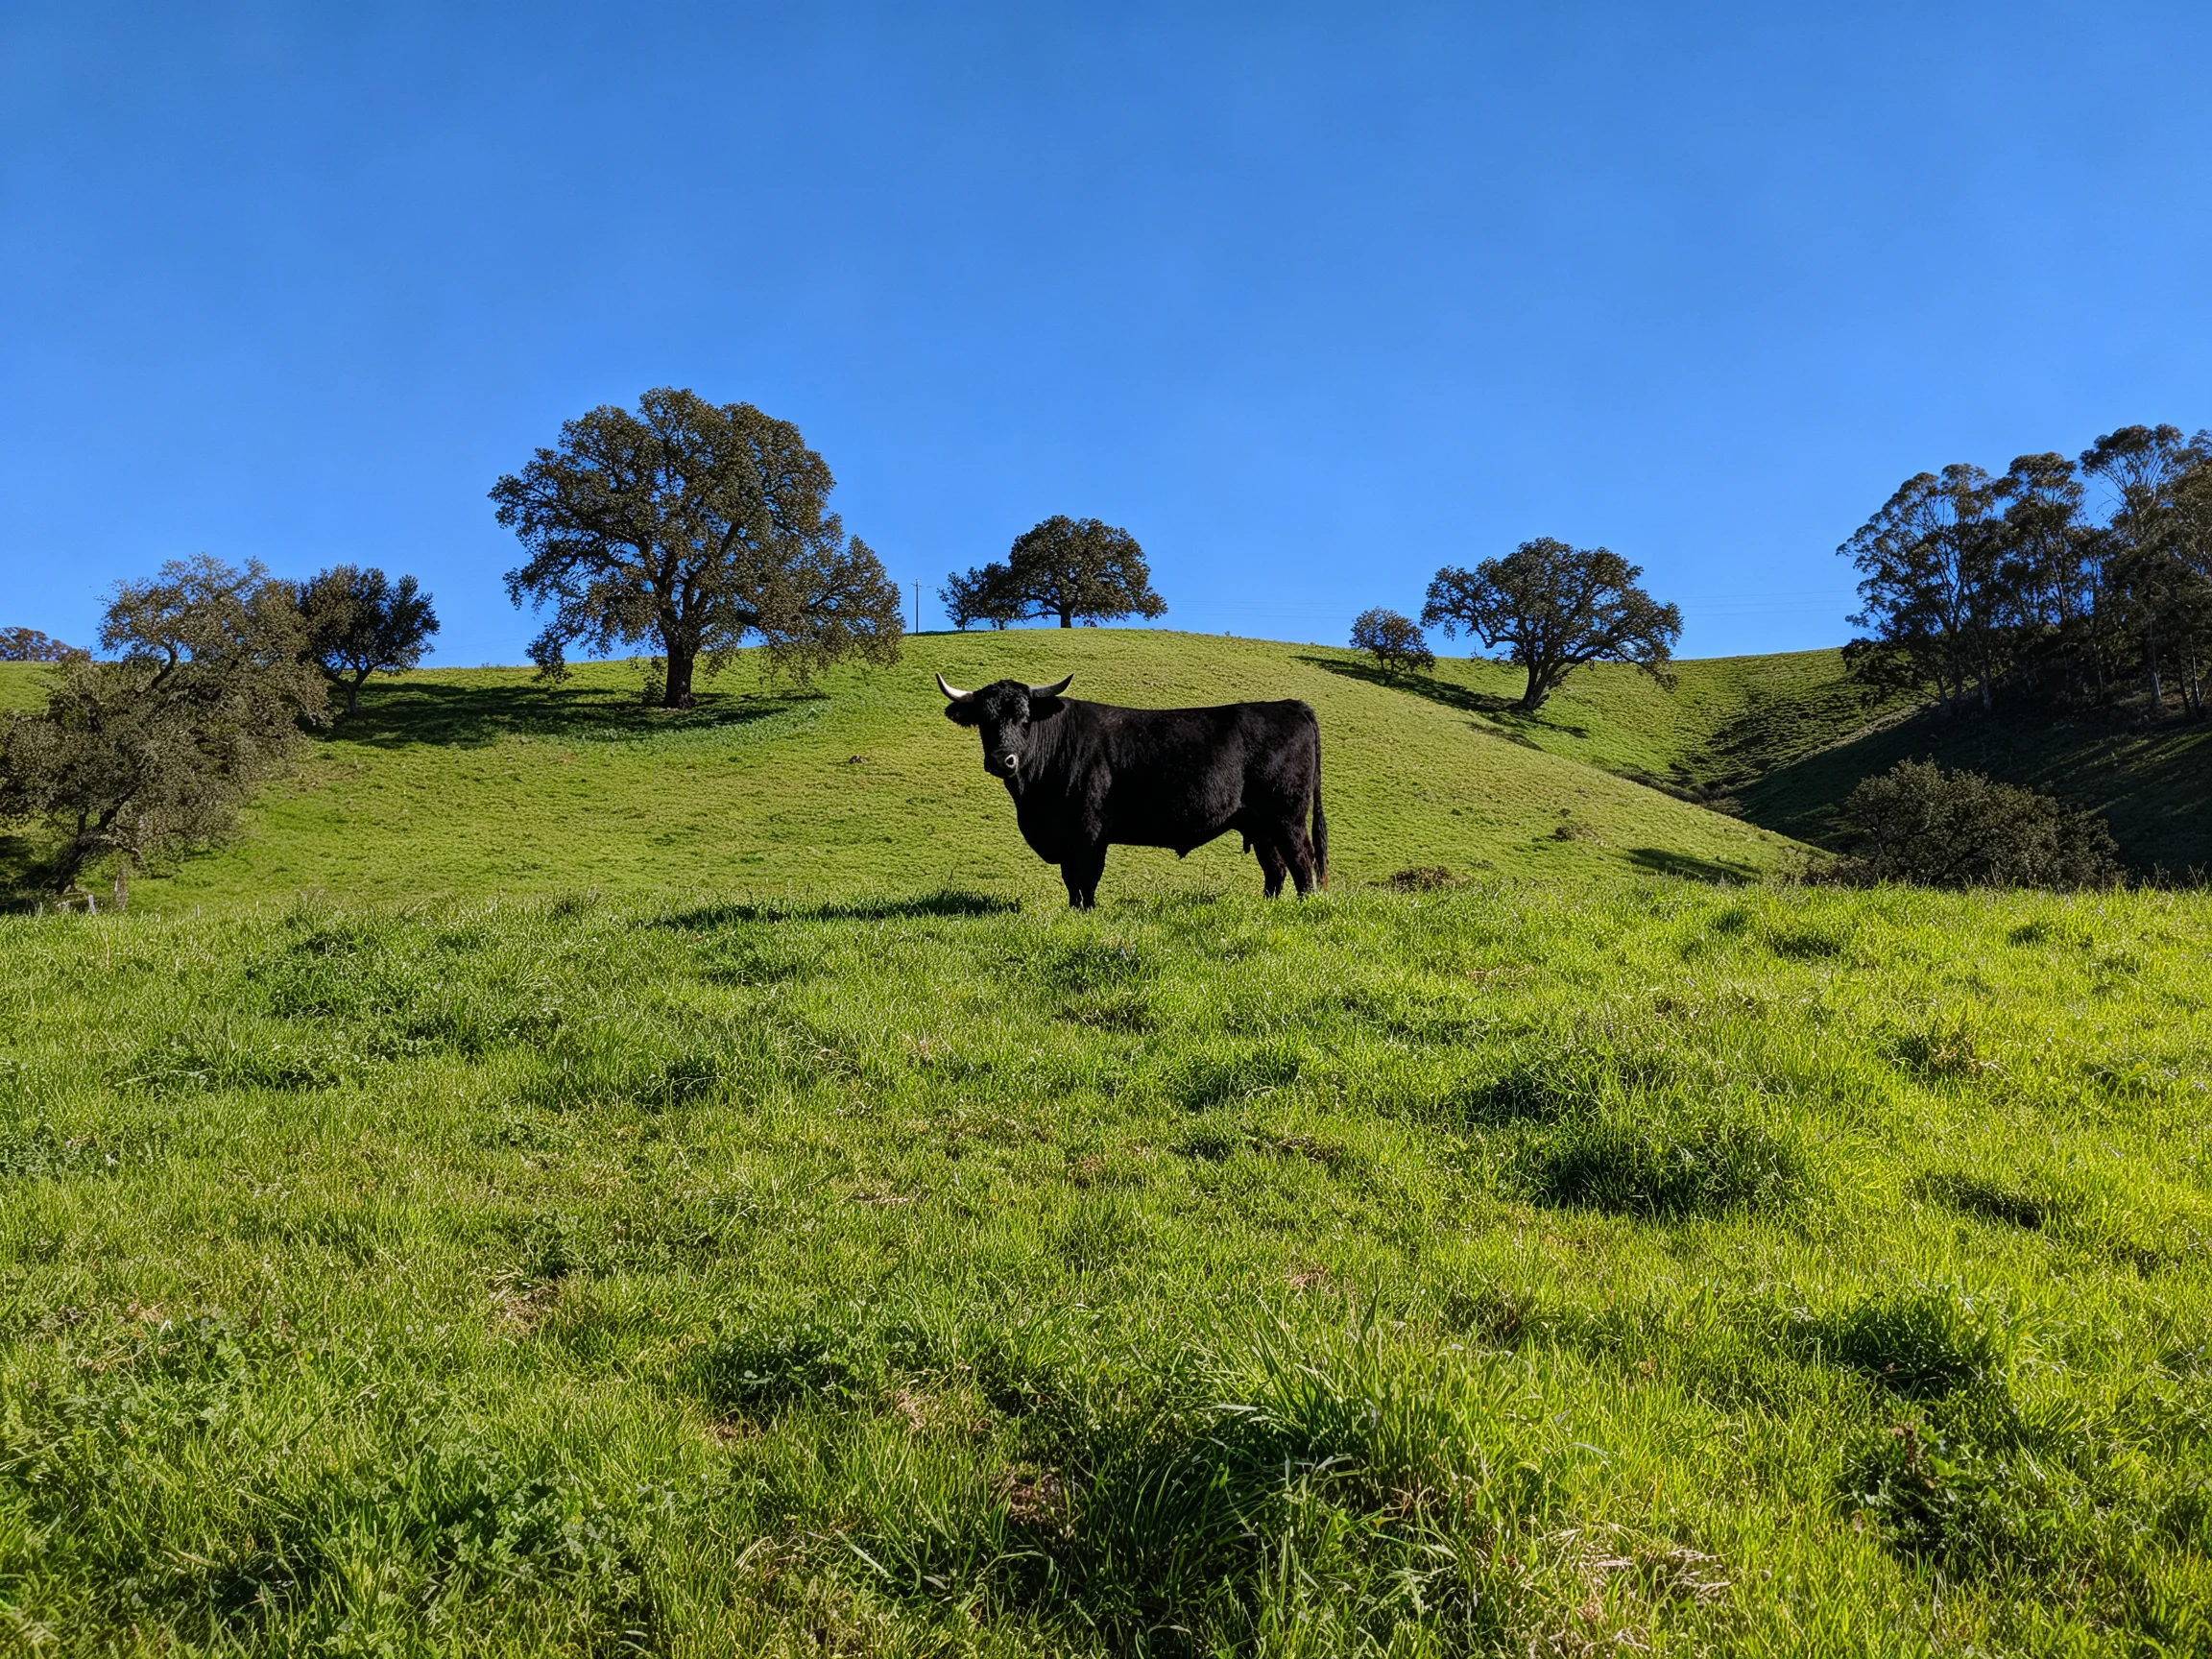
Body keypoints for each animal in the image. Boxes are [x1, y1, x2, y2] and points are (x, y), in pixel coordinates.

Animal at [935, 672, 1327, 908]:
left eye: (1025, 719)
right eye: (984, 721)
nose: (1002, 760)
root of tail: (1291, 705)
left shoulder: (1089, 831)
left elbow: (1085, 877)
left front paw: (1087, 913)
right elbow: (1071, 881)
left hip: (1287, 816)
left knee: (1301, 861)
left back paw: (1305, 906)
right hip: (1260, 825)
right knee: (1275, 868)